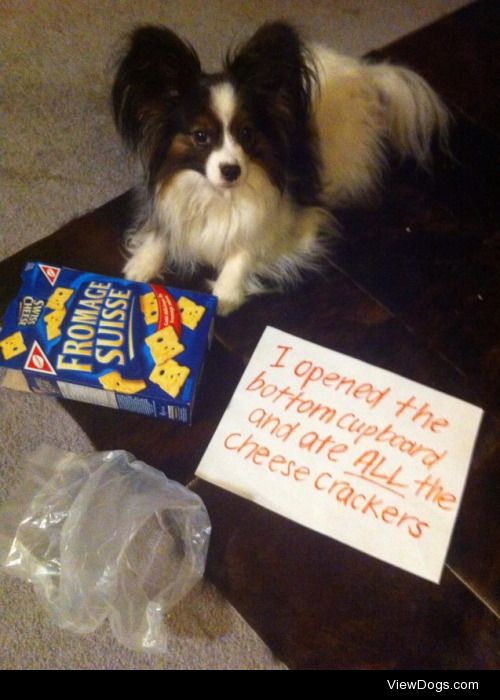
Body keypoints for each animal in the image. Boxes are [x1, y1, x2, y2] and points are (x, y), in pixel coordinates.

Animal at [113, 20, 450, 314]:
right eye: (200, 136)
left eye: (247, 132)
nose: (232, 171)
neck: (219, 195)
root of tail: (363, 72)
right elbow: (162, 227)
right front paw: (142, 263)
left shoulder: (286, 219)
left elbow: (248, 243)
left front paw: (226, 290)